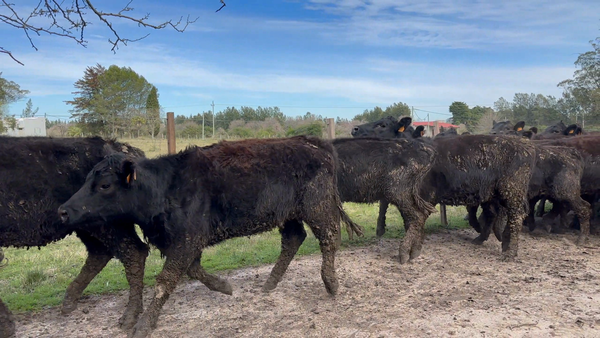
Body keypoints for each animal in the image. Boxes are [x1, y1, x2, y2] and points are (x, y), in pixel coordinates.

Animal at [58, 137, 354, 338]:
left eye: (105, 185)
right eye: (85, 180)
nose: (63, 211)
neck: (166, 187)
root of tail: (311, 141)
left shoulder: (187, 239)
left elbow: (165, 281)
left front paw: (144, 324)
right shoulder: (181, 242)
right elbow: (193, 270)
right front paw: (224, 286)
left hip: (317, 206)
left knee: (329, 238)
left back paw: (331, 282)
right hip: (287, 213)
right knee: (293, 239)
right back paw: (270, 283)